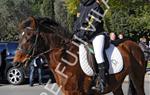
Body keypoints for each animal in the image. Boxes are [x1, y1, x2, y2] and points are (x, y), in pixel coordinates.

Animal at [13, 16, 146, 95]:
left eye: (30, 37)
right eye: (20, 37)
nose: (16, 62)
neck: (64, 58)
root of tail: (134, 44)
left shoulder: (76, 92)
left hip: (137, 78)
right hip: (116, 84)